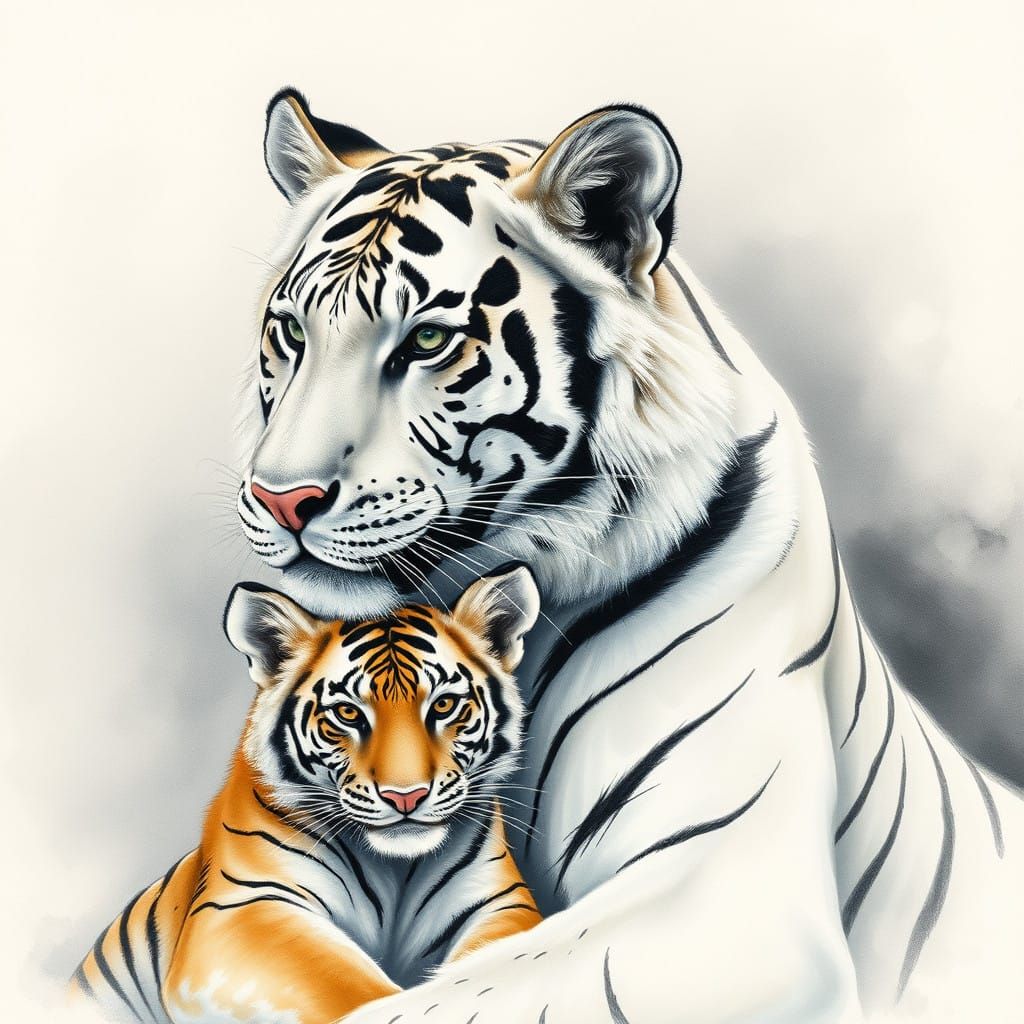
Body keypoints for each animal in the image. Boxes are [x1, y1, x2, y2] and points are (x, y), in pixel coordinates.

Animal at [70, 565, 542, 1023]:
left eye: (443, 705)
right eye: (347, 712)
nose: (405, 797)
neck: (396, 871)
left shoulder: (501, 904)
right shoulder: (246, 905)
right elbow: (352, 989)